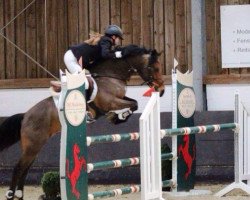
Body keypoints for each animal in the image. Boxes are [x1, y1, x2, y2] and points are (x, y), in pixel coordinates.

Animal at [0, 44, 165, 199]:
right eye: (154, 68)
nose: (161, 90)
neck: (111, 75)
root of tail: (26, 115)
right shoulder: (110, 102)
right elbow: (133, 104)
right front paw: (117, 117)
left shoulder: (119, 99)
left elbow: (133, 103)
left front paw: (117, 117)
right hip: (33, 145)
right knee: (19, 168)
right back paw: (10, 194)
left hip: (34, 146)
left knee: (25, 168)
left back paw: (19, 195)